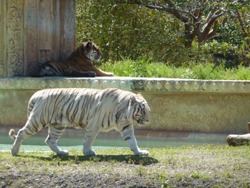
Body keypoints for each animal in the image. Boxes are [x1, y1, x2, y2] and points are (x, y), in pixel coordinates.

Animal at [8, 88, 150, 156]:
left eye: (148, 111)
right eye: (143, 111)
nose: (149, 120)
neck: (124, 113)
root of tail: (36, 94)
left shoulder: (126, 126)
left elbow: (132, 141)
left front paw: (139, 152)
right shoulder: (94, 124)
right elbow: (89, 139)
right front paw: (88, 152)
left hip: (57, 125)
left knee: (50, 140)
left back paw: (61, 152)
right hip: (38, 120)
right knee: (21, 132)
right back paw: (14, 151)